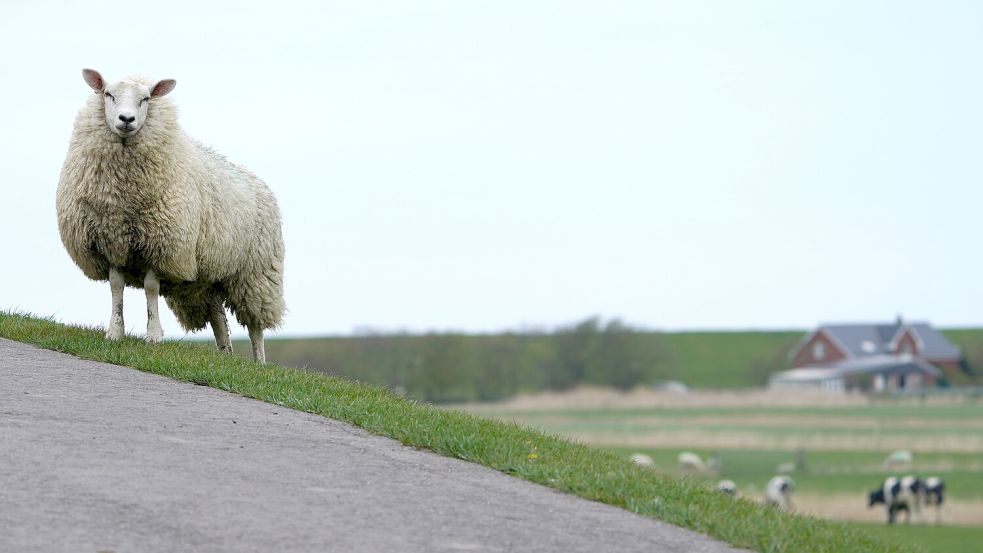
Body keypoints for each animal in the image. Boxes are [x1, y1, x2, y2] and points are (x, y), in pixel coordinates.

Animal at [55, 69, 284, 362]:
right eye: (108, 94)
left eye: (146, 99)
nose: (126, 119)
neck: (122, 194)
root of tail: (260, 183)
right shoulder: (111, 241)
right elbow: (116, 286)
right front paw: (115, 332)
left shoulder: (161, 244)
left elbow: (151, 288)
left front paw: (154, 335)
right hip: (209, 277)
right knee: (218, 317)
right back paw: (225, 355)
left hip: (255, 273)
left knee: (255, 325)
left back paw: (258, 362)